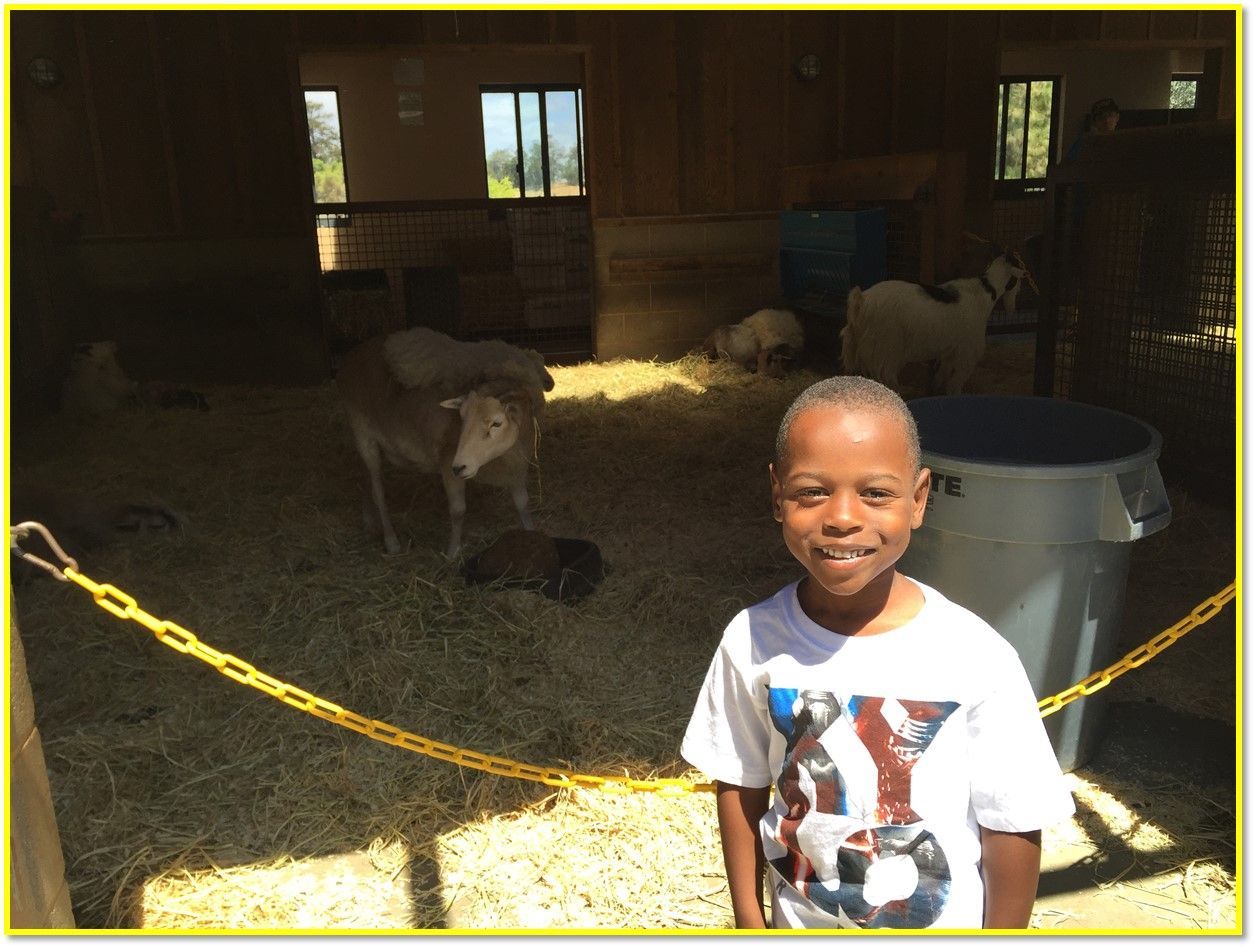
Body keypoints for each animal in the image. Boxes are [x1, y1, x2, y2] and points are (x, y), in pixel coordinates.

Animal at [336, 327, 554, 558]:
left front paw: (531, 534)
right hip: (363, 433)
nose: (459, 467)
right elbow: (458, 510)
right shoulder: (448, 460)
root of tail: (353, 354)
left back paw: (370, 522)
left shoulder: (516, 466)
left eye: (496, 423)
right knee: (378, 491)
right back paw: (391, 541)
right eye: (462, 418)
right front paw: (452, 552)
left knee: (365, 481)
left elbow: (523, 504)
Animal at [840, 252, 1026, 395]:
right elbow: (956, 380)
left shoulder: (951, 349)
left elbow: (943, 372)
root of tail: (862, 301)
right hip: (887, 347)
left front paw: (936, 387)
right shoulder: (966, 351)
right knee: (887, 376)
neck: (986, 291)